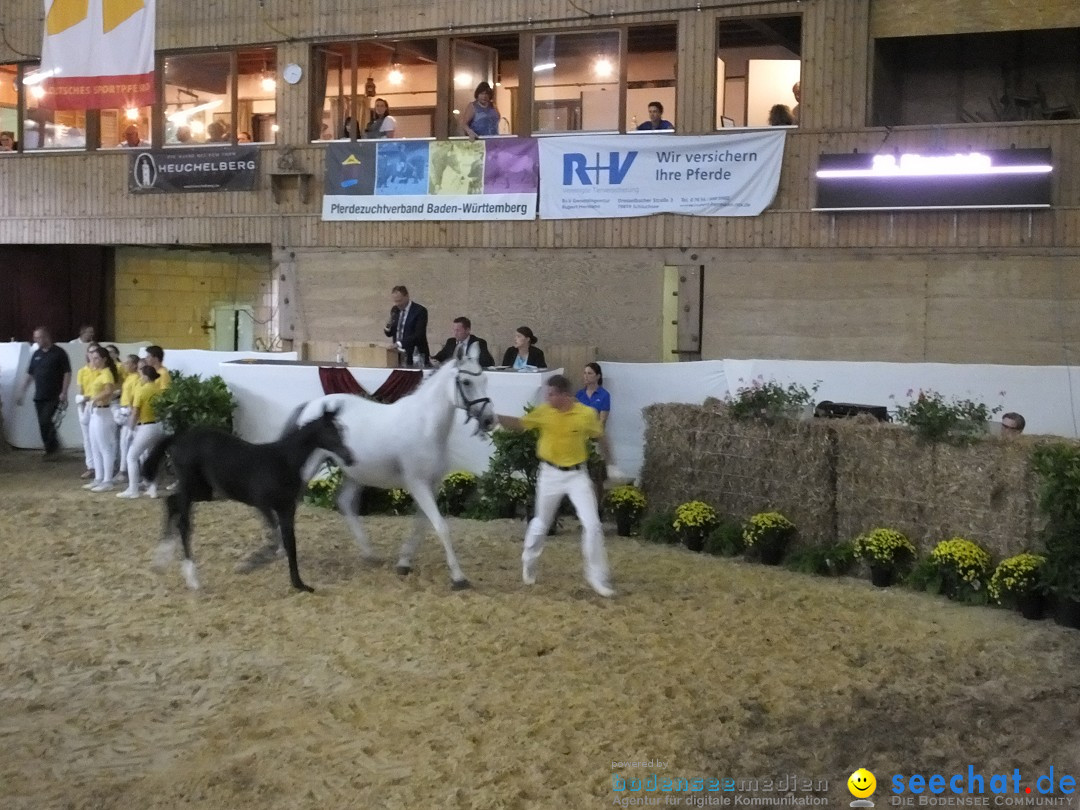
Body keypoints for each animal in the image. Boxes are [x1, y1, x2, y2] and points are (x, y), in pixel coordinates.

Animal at [141, 408, 352, 591]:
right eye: (332, 431)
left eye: (342, 429)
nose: (349, 457)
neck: (284, 460)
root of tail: (179, 437)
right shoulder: (280, 507)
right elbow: (289, 542)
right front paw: (299, 584)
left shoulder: (271, 506)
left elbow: (277, 535)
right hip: (192, 487)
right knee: (183, 523)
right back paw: (192, 578)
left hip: (205, 491)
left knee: (171, 503)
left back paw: (160, 561)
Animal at [287, 343, 494, 591]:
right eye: (466, 382)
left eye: (485, 379)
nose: (489, 420)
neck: (425, 425)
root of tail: (310, 406)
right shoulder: (417, 483)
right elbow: (440, 526)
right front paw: (458, 577)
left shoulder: (432, 484)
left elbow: (422, 524)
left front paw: (404, 563)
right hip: (310, 466)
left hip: (356, 472)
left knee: (345, 502)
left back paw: (370, 554)